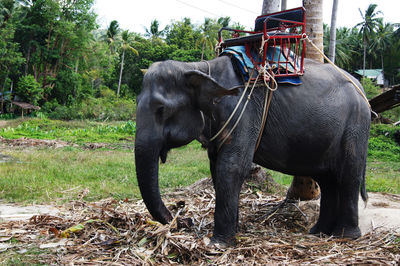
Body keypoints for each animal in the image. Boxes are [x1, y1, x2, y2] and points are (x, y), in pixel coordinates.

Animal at [135, 56, 372, 245]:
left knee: (348, 176)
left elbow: (231, 167)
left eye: (161, 109)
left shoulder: (244, 111)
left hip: (355, 125)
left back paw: (345, 236)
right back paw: (319, 232)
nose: (183, 221)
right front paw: (234, 232)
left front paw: (218, 244)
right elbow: (216, 167)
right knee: (328, 180)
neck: (199, 67)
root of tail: (362, 90)